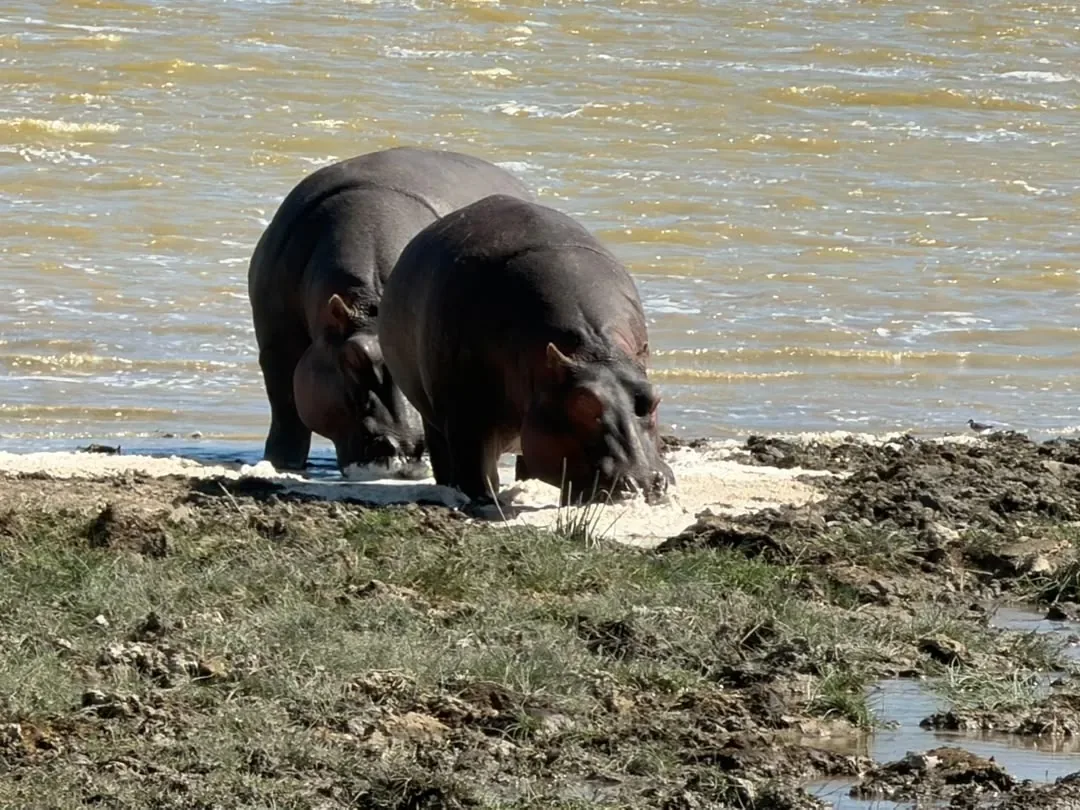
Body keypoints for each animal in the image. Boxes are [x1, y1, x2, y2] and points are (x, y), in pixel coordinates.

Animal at [377, 193, 674, 505]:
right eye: (583, 402)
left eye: (655, 398)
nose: (643, 483)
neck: (594, 352)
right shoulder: (465, 417)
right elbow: (477, 471)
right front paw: (484, 501)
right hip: (432, 414)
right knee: (443, 453)